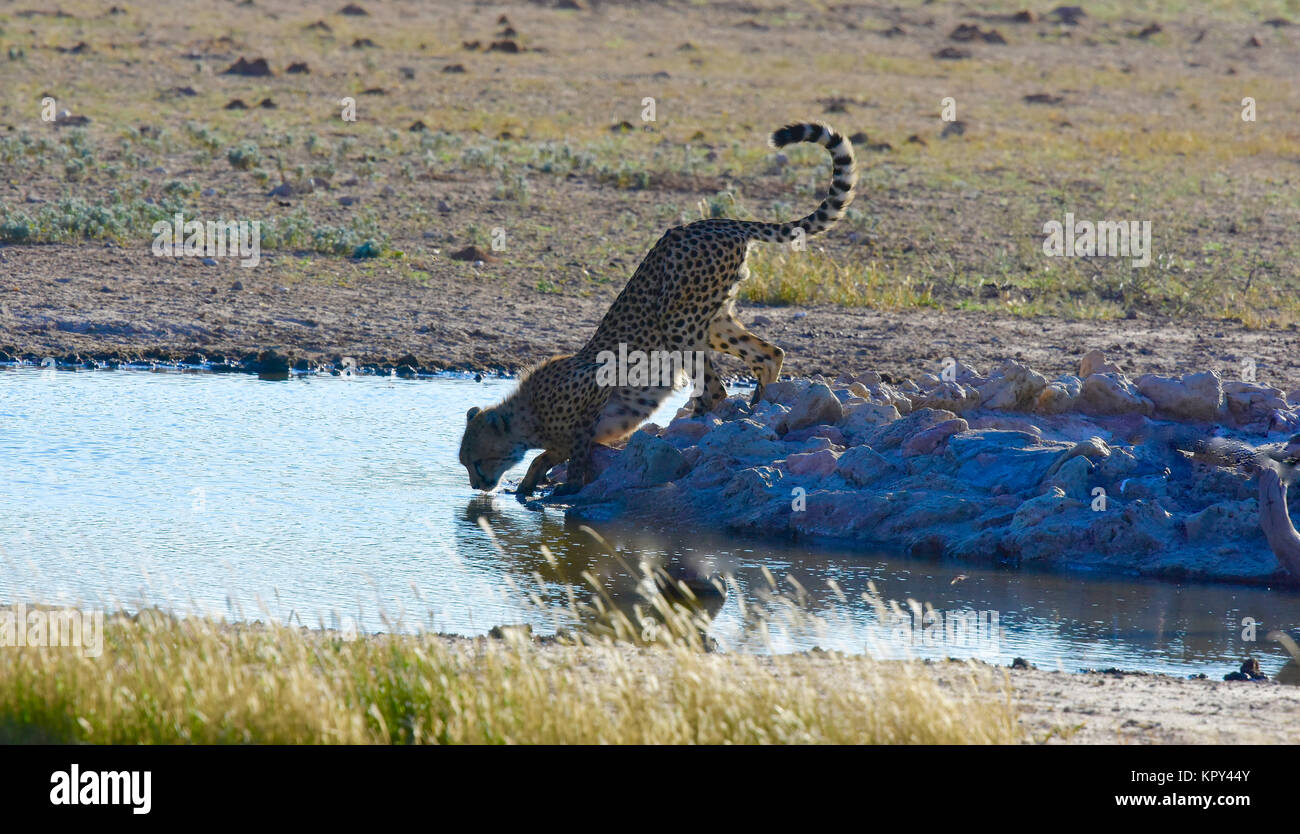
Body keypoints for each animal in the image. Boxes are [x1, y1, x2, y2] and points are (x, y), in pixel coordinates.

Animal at [462, 120, 857, 496]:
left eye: (478, 460)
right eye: (465, 463)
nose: (476, 485)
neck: (527, 414)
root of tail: (715, 221)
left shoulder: (596, 385)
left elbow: (573, 448)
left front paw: (567, 486)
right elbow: (550, 454)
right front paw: (529, 485)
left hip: (679, 323)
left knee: (716, 390)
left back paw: (694, 425)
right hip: (710, 318)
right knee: (768, 354)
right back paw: (757, 406)